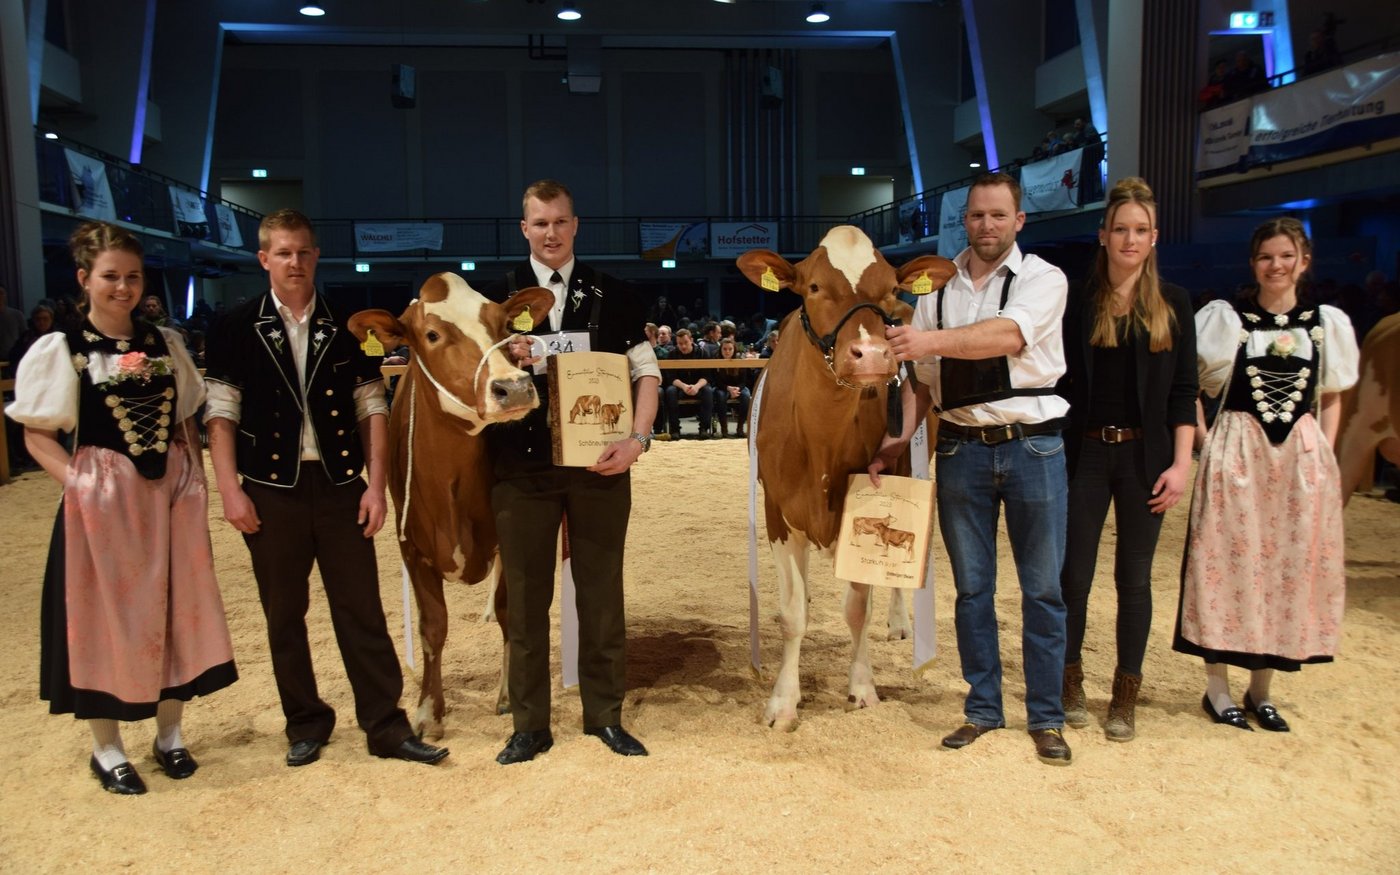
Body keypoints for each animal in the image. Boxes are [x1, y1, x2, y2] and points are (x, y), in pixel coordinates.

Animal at [348, 273, 554, 738]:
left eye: (504, 326)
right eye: (431, 335)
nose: (514, 386)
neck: (451, 490)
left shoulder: (508, 531)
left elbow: (511, 613)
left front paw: (508, 695)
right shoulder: (411, 547)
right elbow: (433, 627)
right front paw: (428, 712)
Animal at [738, 225, 956, 729]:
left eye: (889, 288)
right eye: (814, 287)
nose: (872, 355)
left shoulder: (863, 507)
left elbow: (858, 608)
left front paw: (861, 688)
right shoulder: (778, 513)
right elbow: (792, 613)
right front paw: (783, 702)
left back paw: (900, 622)